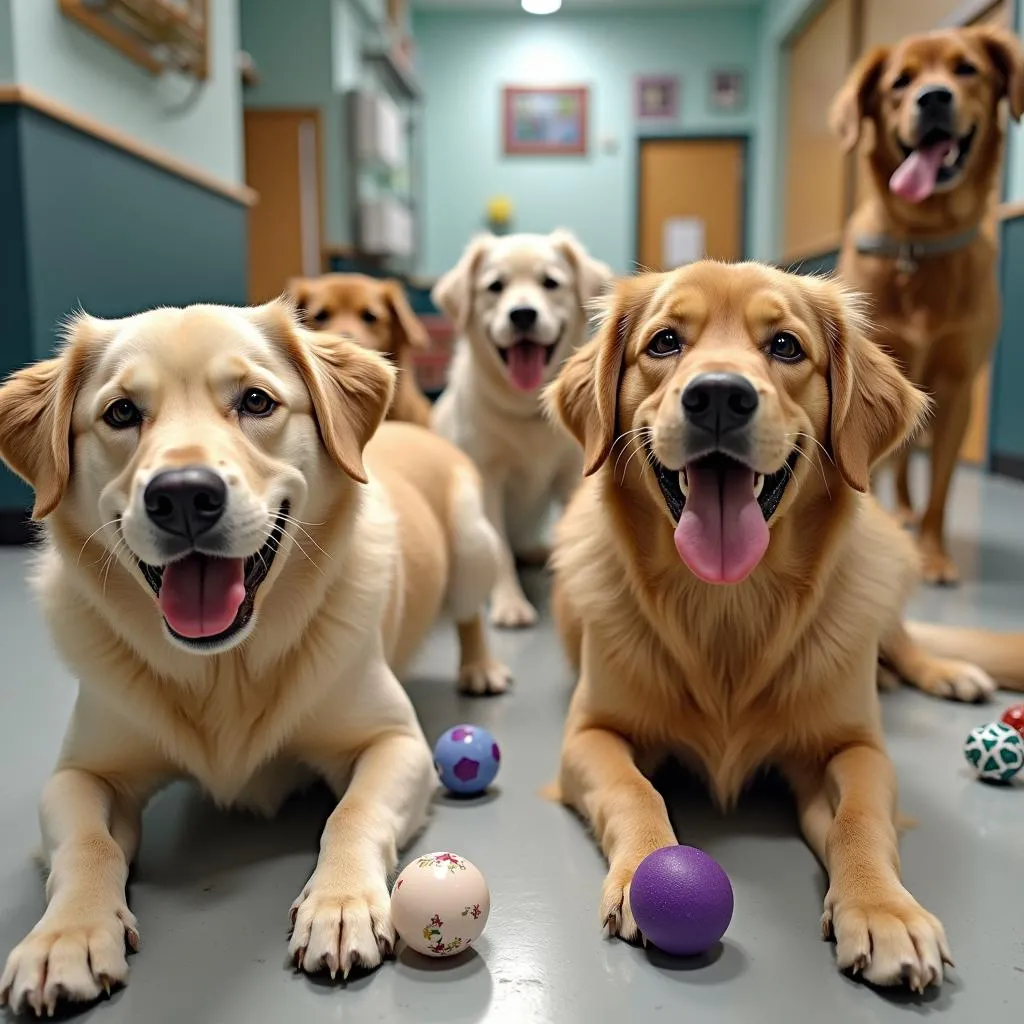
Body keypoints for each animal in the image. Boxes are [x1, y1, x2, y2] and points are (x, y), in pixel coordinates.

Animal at [430, 232, 606, 626]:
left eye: (550, 283)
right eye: (495, 286)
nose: (522, 314)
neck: (528, 409)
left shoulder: (570, 476)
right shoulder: (488, 479)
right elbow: (499, 552)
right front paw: (510, 602)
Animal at [831, 25, 1024, 585]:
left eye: (967, 70)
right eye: (900, 82)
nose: (934, 97)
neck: (921, 240)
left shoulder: (958, 390)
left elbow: (940, 488)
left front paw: (934, 556)